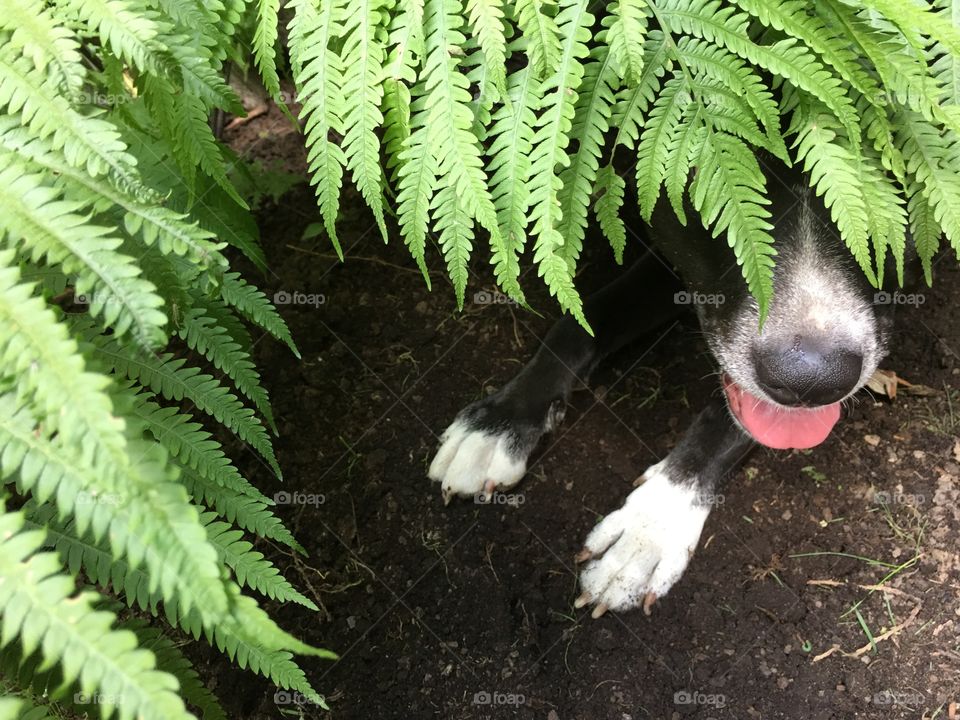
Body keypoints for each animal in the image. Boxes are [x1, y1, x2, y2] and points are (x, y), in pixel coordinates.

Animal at [428, 160, 908, 616]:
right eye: (703, 181)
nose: (811, 380)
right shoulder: (666, 259)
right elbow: (581, 320)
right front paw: (504, 419)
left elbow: (728, 421)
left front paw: (650, 527)